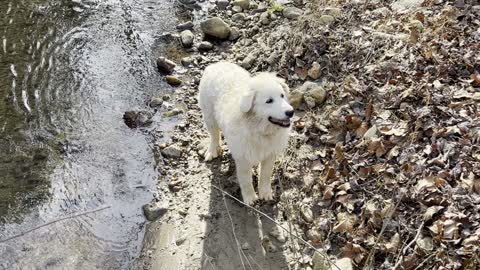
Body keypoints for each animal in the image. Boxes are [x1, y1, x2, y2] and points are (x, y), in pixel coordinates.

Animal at [198, 61, 292, 205]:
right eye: (269, 101)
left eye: (282, 96)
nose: (291, 112)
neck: (259, 130)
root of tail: (216, 64)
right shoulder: (243, 158)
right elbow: (246, 180)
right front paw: (250, 198)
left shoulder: (270, 154)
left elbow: (265, 175)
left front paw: (265, 193)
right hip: (209, 116)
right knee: (214, 135)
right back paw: (212, 150)